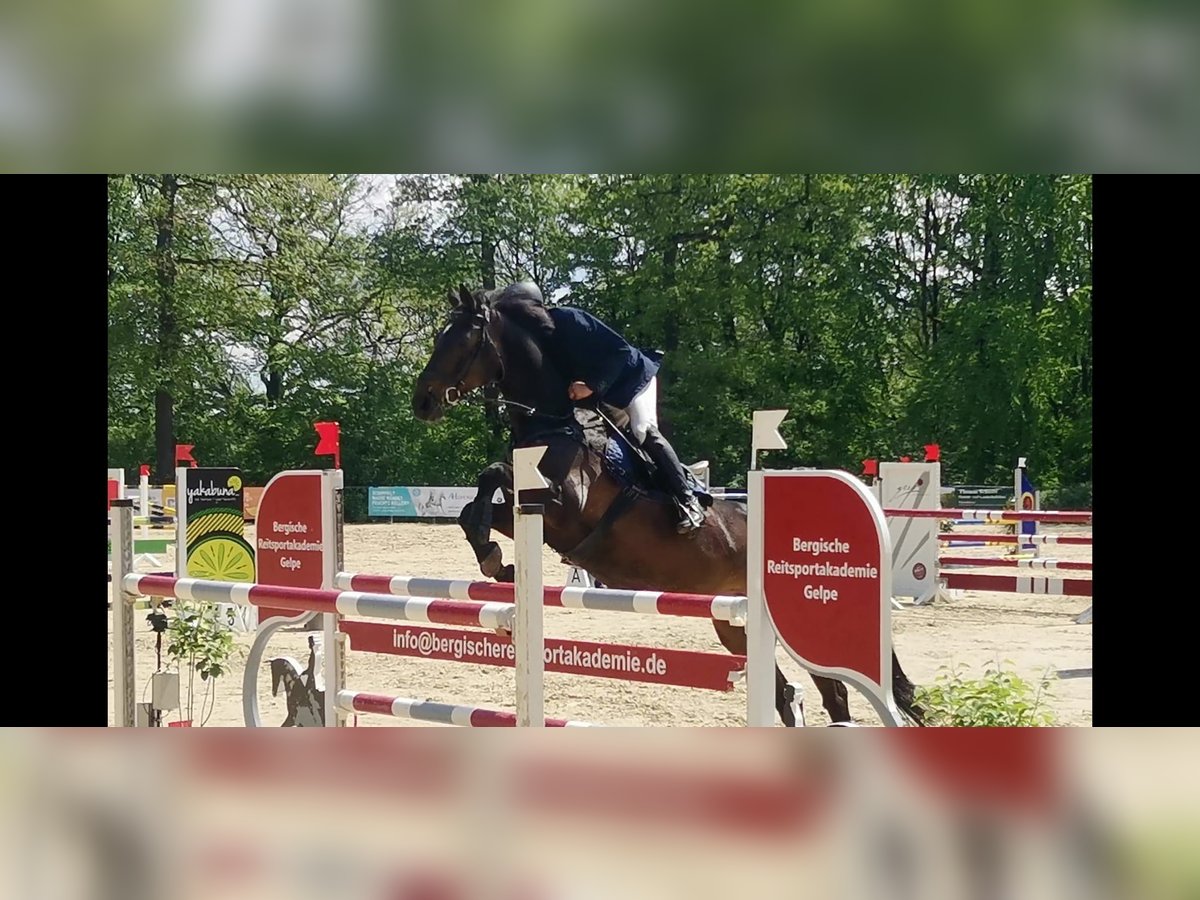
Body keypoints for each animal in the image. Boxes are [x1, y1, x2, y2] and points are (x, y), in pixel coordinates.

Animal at [412, 285, 926, 729]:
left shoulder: (563, 506)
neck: (554, 422)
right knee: (795, 694)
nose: (422, 403)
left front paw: (494, 558)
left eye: (461, 341)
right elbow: (477, 504)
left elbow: (496, 472)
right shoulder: (536, 516)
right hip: (731, 621)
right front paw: (495, 560)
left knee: (832, 689)